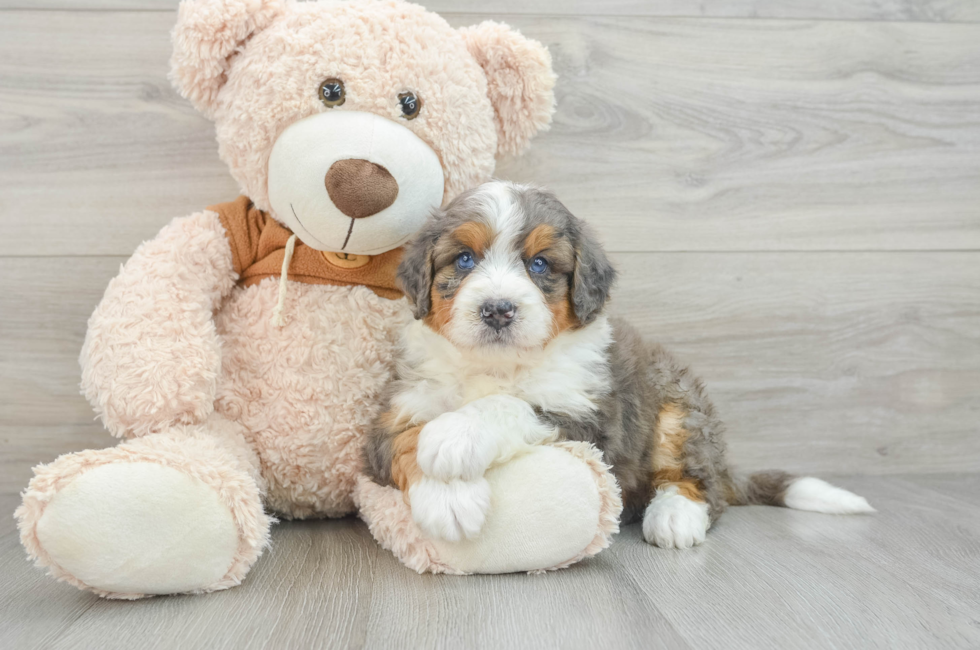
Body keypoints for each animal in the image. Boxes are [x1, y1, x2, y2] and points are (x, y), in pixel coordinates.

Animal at [362, 178, 872, 548]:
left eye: (540, 265)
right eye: (465, 259)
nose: (498, 310)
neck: (497, 366)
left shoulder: (590, 419)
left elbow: (509, 406)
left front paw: (456, 436)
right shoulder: (399, 410)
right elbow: (407, 441)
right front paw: (447, 498)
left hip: (679, 406)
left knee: (699, 482)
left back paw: (674, 516)